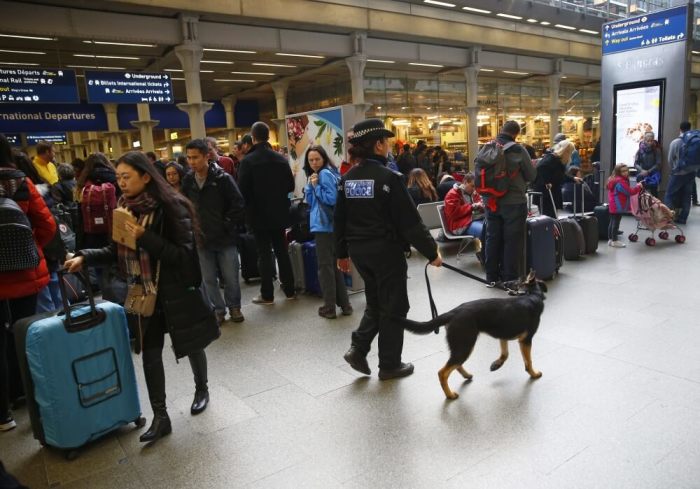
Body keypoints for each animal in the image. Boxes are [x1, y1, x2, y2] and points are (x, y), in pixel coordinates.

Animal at [400, 270, 548, 400]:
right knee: (443, 372)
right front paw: (533, 374)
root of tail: (454, 312)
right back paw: (450, 395)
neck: (531, 294)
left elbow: (505, 354)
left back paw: (466, 376)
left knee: (456, 365)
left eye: (516, 280)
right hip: (466, 345)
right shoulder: (526, 340)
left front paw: (497, 364)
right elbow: (528, 361)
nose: (504, 282)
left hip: (462, 346)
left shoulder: (503, 335)